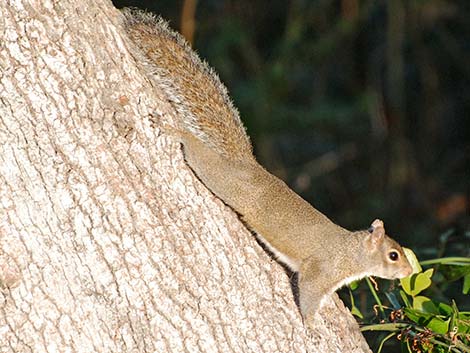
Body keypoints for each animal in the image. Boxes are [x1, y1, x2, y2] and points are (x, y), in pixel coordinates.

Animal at [120, 7, 412, 322]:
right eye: (393, 255)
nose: (409, 271)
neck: (351, 252)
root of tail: (247, 165)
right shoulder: (321, 270)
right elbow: (309, 293)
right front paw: (309, 323)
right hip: (222, 180)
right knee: (198, 156)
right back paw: (178, 133)